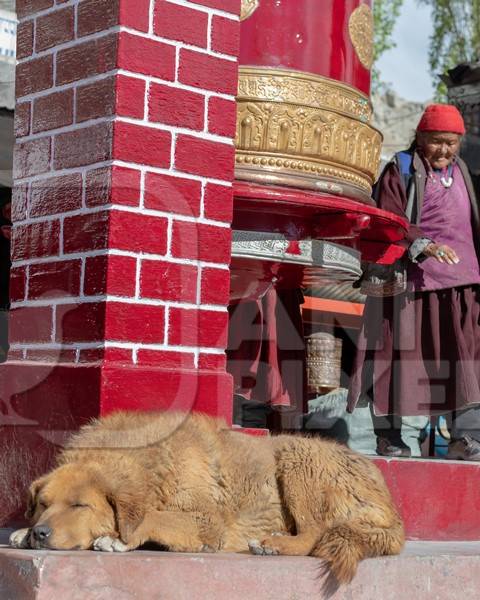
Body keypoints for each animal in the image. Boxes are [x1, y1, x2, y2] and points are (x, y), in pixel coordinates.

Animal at [9, 410, 404, 584]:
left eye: (80, 506)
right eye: (43, 504)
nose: (40, 533)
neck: (151, 463)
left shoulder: (208, 523)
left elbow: (153, 517)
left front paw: (118, 538)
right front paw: (21, 531)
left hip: (296, 457)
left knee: (314, 533)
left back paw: (274, 544)